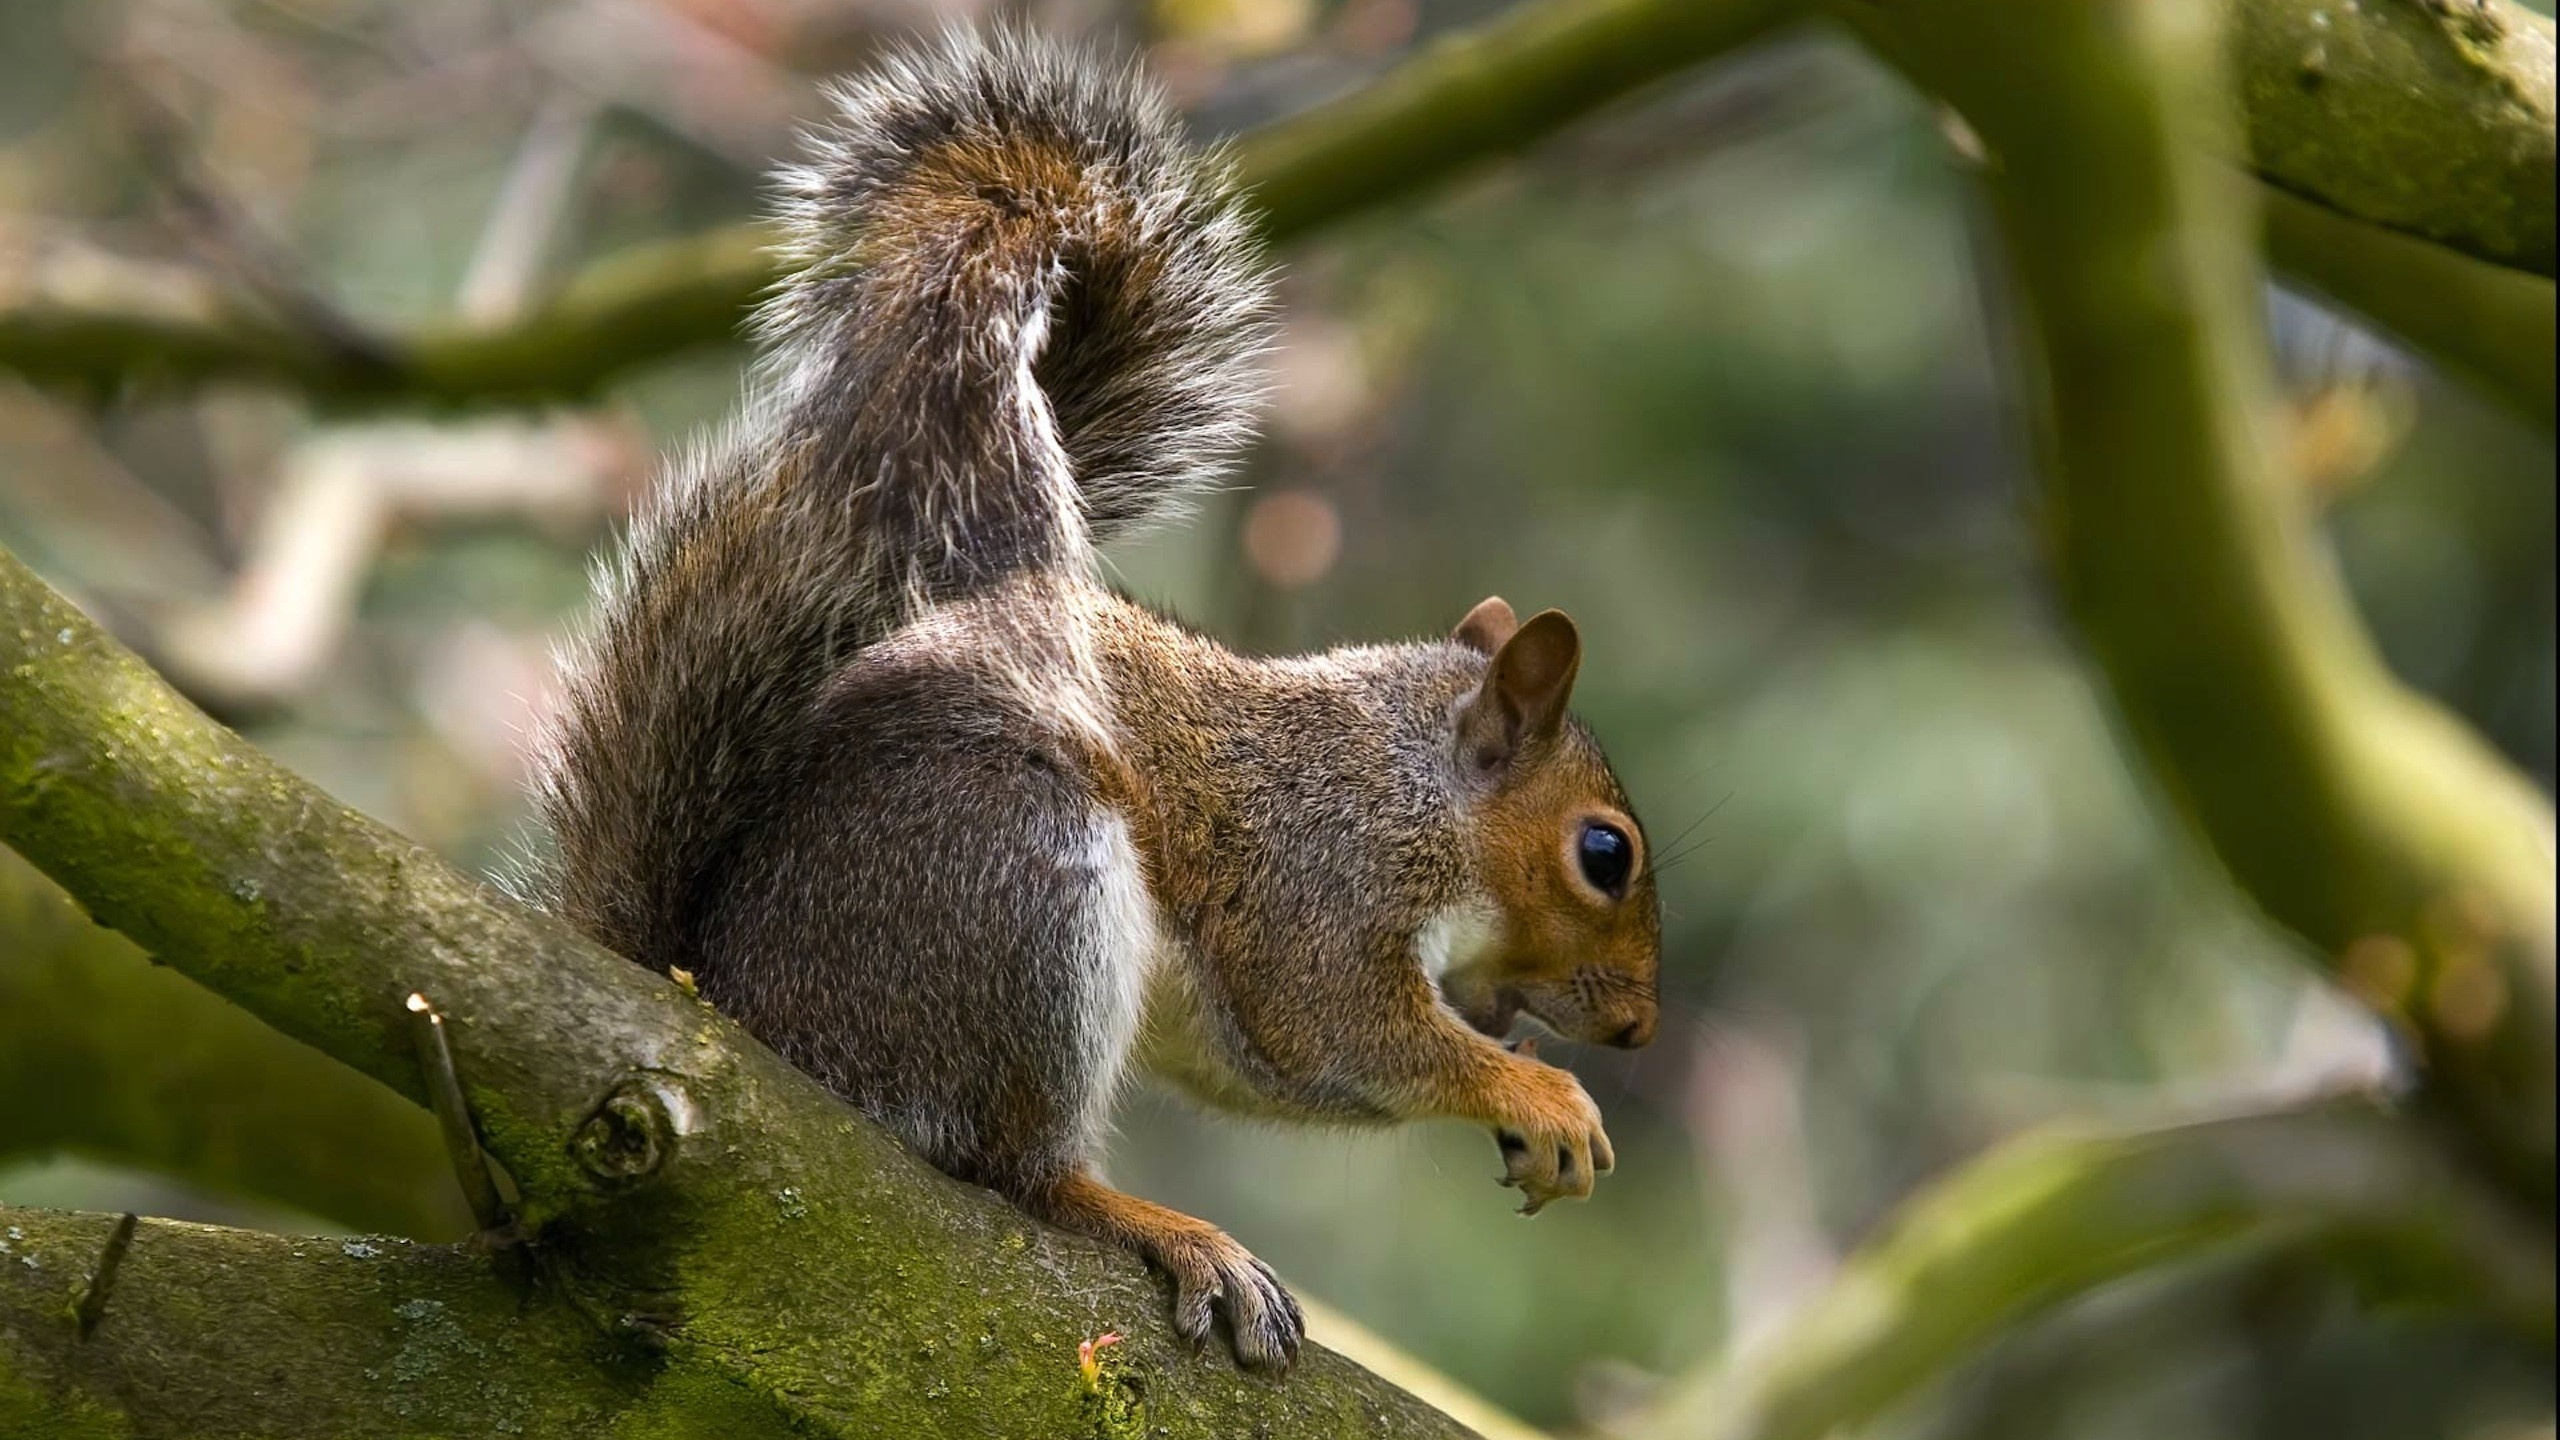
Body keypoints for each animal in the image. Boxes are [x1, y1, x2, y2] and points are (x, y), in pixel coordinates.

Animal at [529, 30, 1669, 1363]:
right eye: (1604, 854)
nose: (1639, 1031)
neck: (1409, 784)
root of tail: (733, 1004)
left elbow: (1284, 1064)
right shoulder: (1320, 884)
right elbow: (1340, 1031)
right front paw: (1537, 1088)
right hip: (1022, 886)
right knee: (1011, 1168)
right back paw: (1156, 1224)